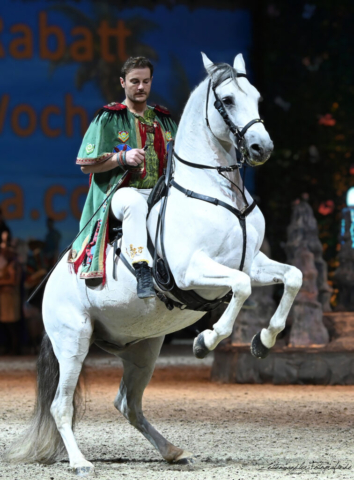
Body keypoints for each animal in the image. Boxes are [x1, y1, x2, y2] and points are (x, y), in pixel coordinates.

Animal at [5, 53, 302, 476]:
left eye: (257, 97)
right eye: (227, 100)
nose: (262, 147)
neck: (216, 192)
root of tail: (53, 282)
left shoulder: (253, 262)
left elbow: (292, 277)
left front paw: (264, 339)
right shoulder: (193, 271)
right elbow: (241, 288)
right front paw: (205, 340)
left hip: (143, 350)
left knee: (128, 404)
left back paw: (173, 451)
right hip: (73, 341)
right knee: (60, 405)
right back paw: (80, 462)